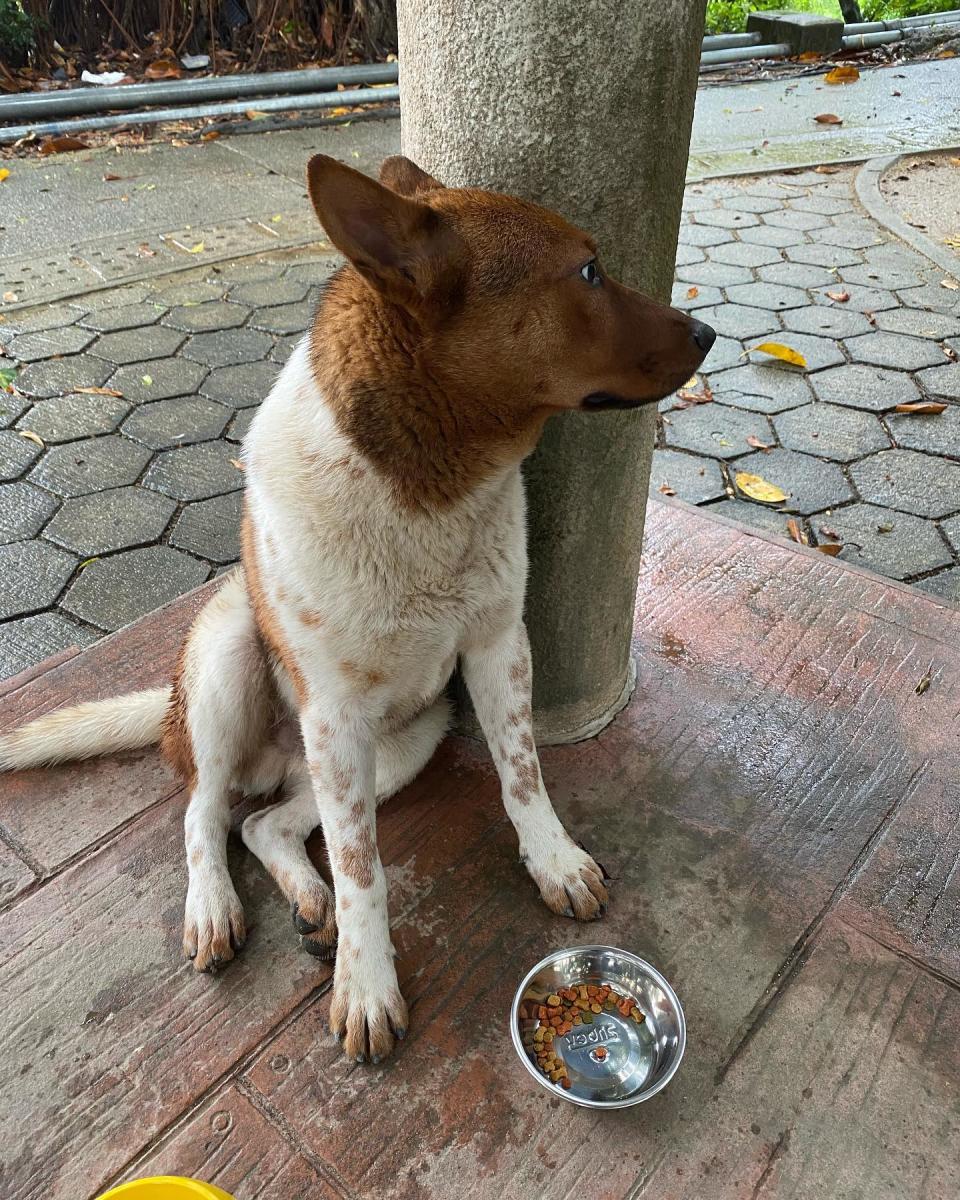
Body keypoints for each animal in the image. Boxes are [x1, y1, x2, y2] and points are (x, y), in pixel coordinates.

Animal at [0, 154, 710, 1065]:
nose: (707, 334)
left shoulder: (497, 646)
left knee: (269, 826)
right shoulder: (335, 713)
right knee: (204, 815)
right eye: (588, 270)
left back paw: (309, 901)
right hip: (234, 664)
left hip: (406, 741)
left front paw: (553, 861)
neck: (434, 491)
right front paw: (368, 987)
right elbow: (364, 871)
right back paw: (216, 908)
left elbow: (522, 774)